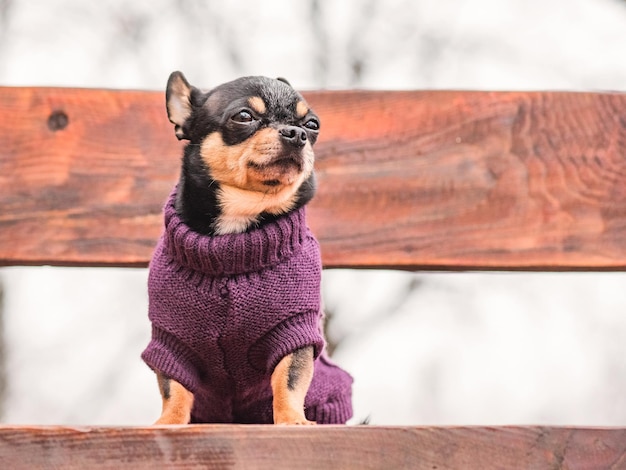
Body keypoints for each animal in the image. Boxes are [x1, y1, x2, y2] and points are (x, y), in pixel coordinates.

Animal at [142, 70, 354, 426]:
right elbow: (173, 388)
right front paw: (168, 422)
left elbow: (289, 379)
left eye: (312, 125)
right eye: (244, 116)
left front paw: (292, 419)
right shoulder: (172, 342)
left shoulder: (294, 330)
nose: (297, 133)